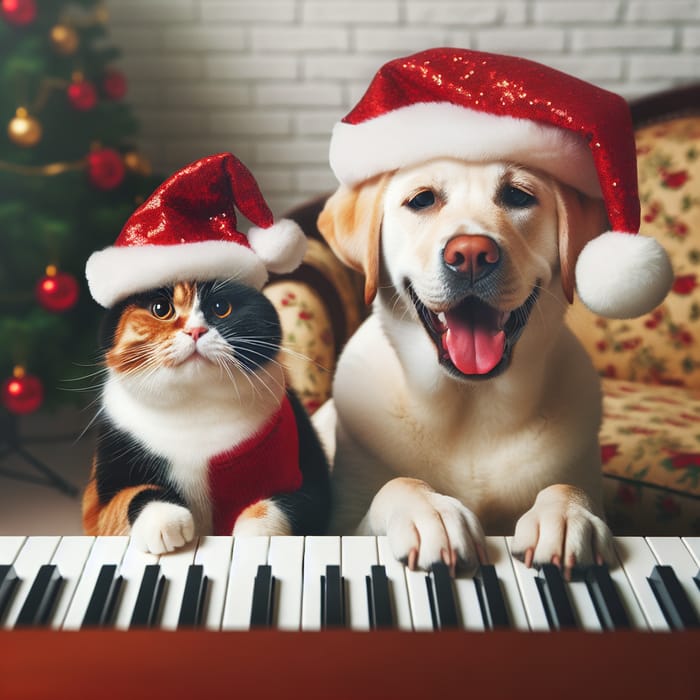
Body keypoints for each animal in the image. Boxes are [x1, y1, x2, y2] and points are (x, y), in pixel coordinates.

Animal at [82, 278, 330, 552]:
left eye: (221, 307)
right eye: (161, 309)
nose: (196, 331)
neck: (195, 409)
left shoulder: (309, 474)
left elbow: (288, 504)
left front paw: (255, 535)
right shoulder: (98, 501)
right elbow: (129, 495)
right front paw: (163, 519)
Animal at [314, 160, 616, 580]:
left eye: (518, 196)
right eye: (422, 200)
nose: (472, 254)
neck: (471, 407)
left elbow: (568, 487)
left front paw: (568, 516)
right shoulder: (339, 525)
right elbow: (398, 483)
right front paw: (431, 514)